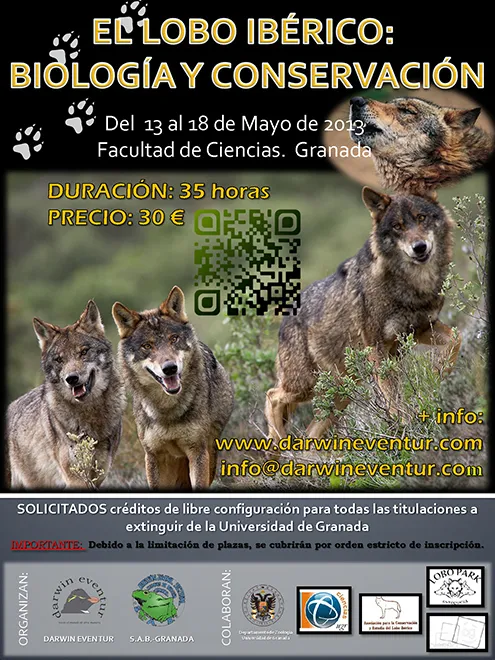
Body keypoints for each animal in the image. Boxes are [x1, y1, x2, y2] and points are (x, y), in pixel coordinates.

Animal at [6, 301, 125, 490]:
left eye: (84, 352)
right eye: (59, 359)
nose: (72, 379)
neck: (90, 415)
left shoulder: (98, 476)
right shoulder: (76, 478)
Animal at [112, 286, 234, 491]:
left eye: (174, 339)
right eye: (147, 345)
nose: (170, 368)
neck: (167, 411)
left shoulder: (197, 452)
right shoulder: (154, 456)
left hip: (209, 454)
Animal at [265, 187, 461, 440]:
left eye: (421, 218)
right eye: (397, 227)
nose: (419, 247)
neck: (411, 286)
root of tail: (285, 317)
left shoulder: (421, 328)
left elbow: (456, 338)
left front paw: (439, 373)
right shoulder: (376, 348)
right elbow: (393, 399)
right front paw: (407, 427)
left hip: (340, 394)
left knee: (309, 434)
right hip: (306, 385)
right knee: (272, 396)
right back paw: (277, 442)